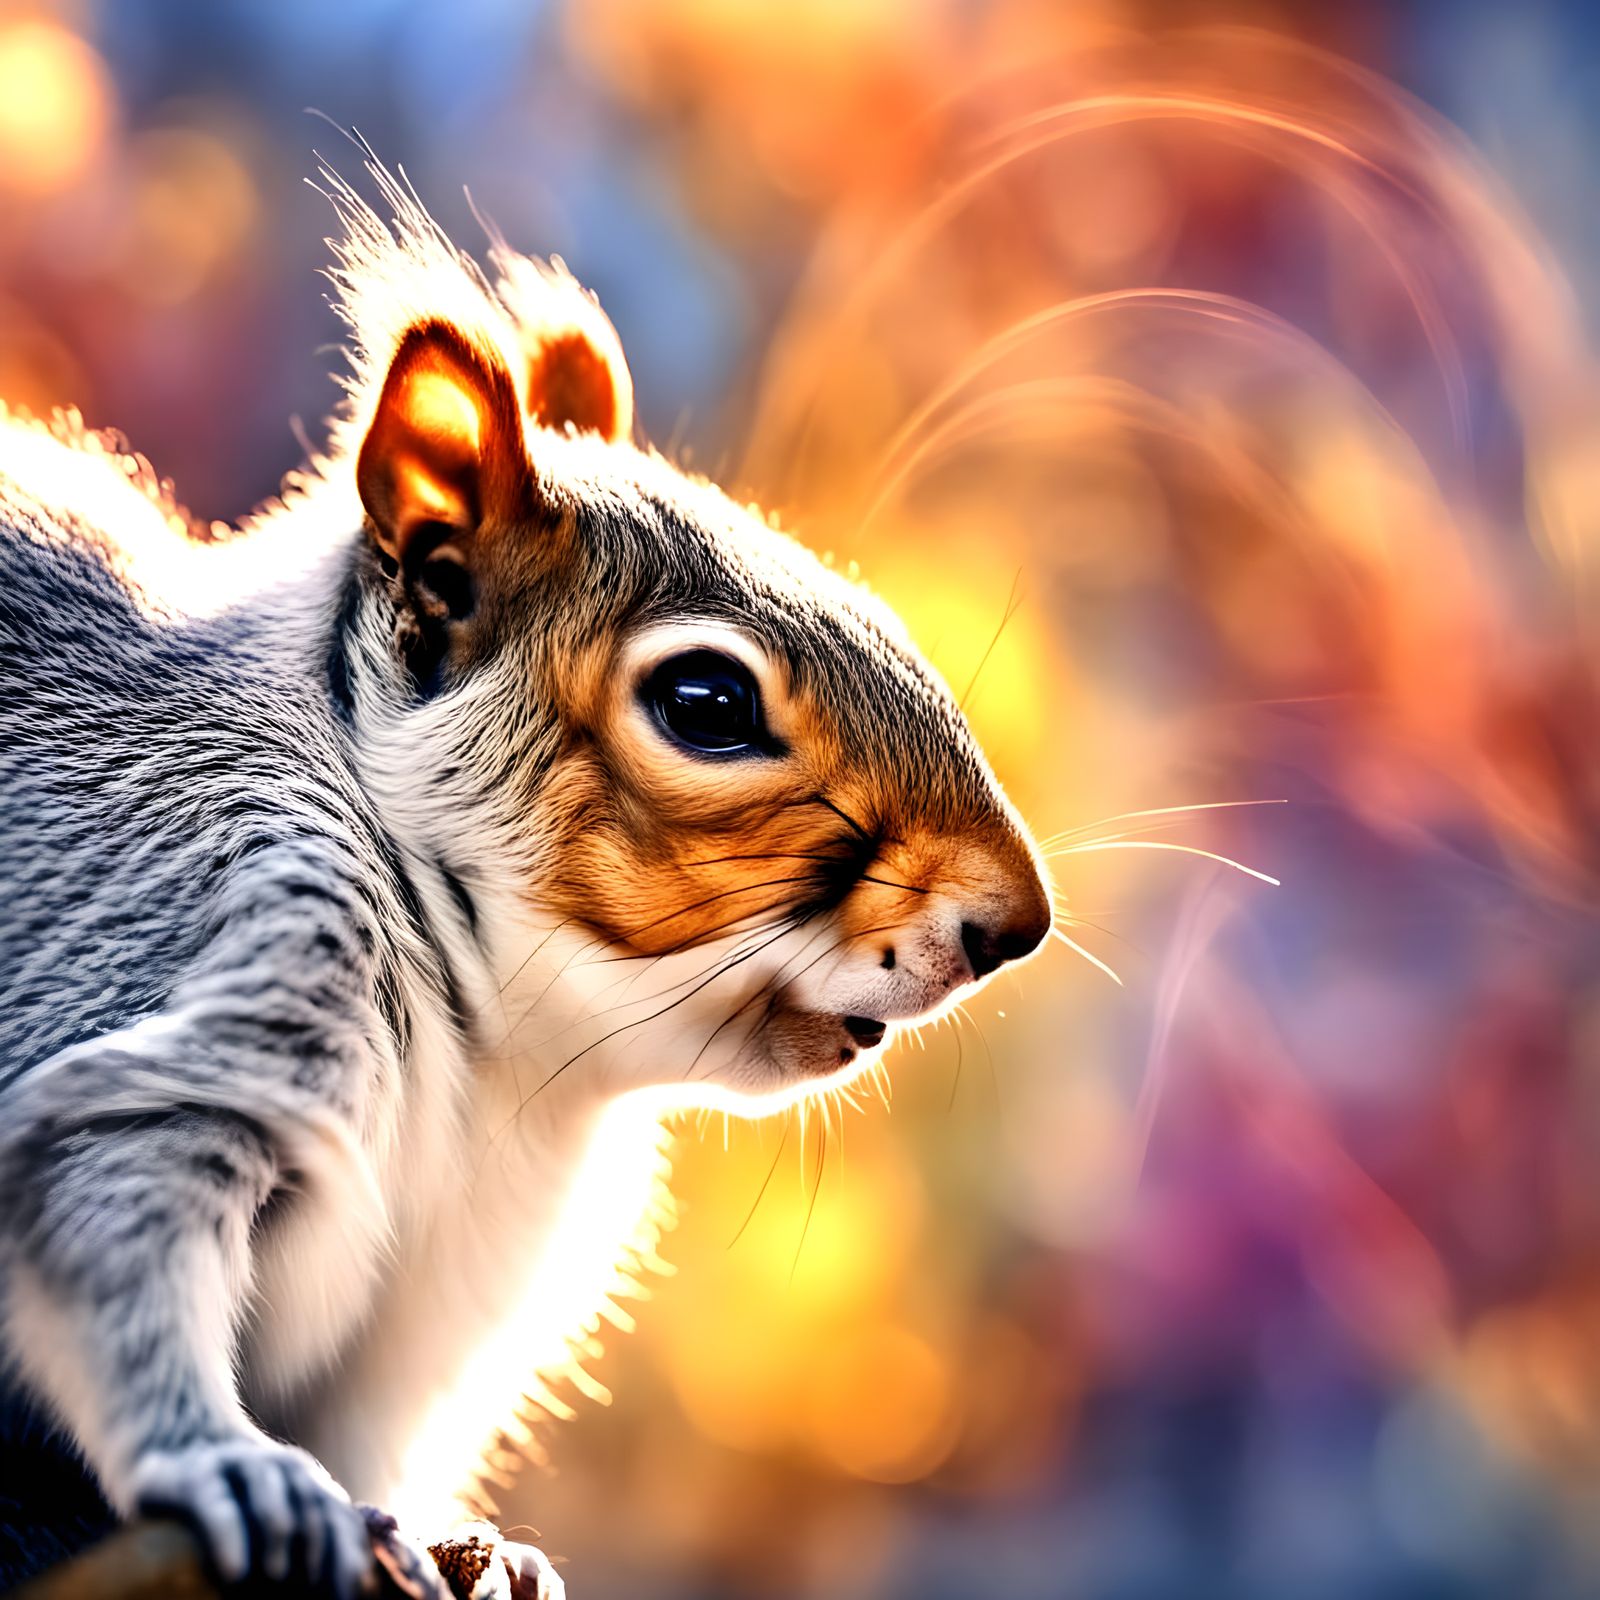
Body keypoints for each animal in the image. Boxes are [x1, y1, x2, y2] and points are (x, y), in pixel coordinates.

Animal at [0, 162, 1051, 1598]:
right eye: (707, 703)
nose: (1017, 923)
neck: (498, 1061)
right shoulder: (189, 916)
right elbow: (104, 1210)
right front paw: (226, 1462)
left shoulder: (438, 1309)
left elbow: (375, 1431)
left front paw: (469, 1547)